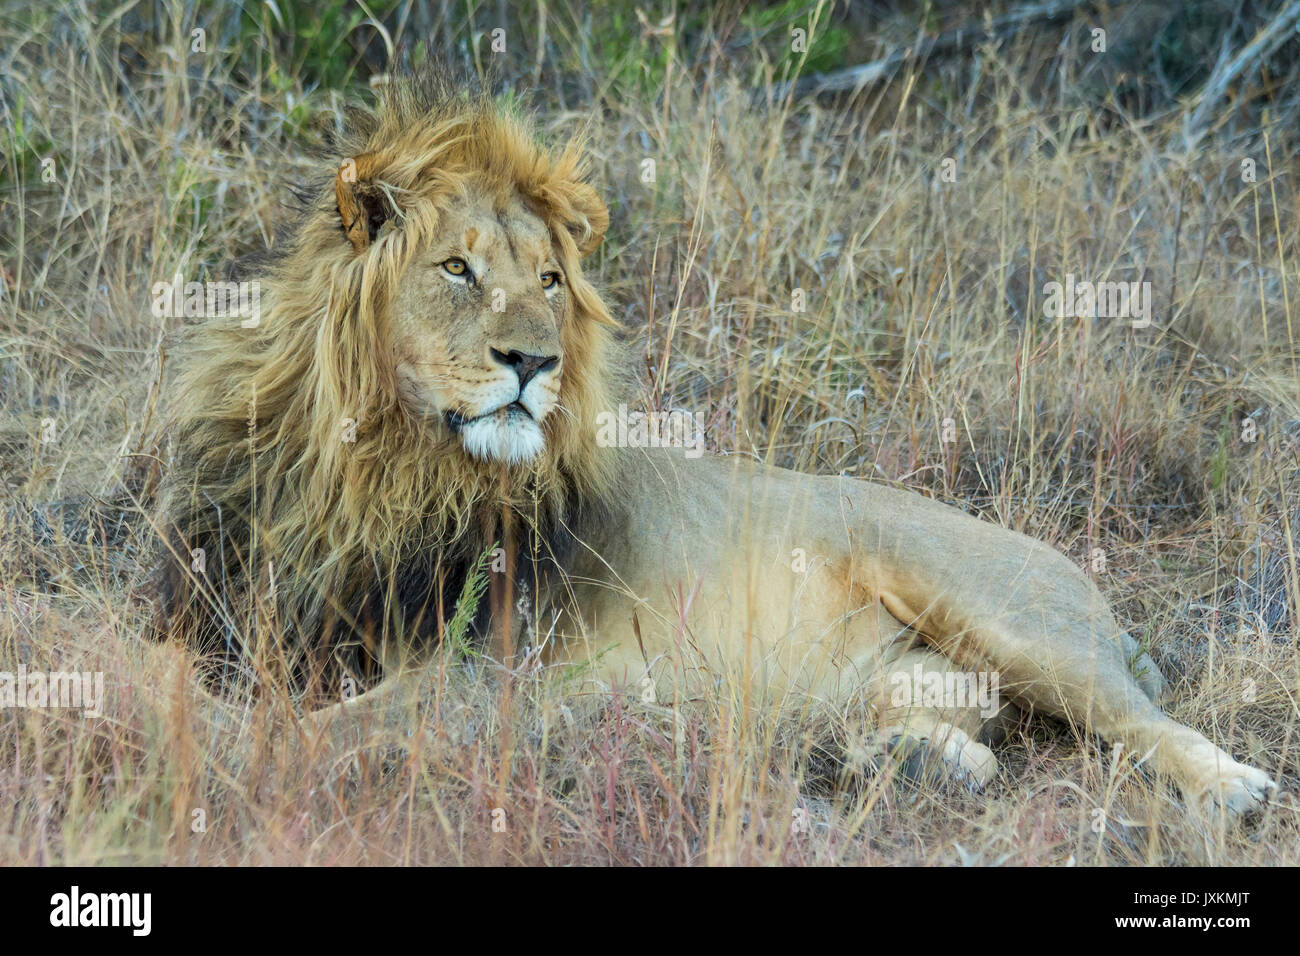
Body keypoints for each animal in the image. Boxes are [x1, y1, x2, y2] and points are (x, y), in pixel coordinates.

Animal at [154, 72, 1279, 816]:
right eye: (457, 270)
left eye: (549, 280)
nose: (532, 361)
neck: (385, 466)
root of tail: (1094, 595)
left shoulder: (486, 666)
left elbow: (314, 727)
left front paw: (221, 752)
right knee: (965, 727)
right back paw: (910, 767)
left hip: (1002, 608)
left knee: (1138, 721)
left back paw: (1235, 788)